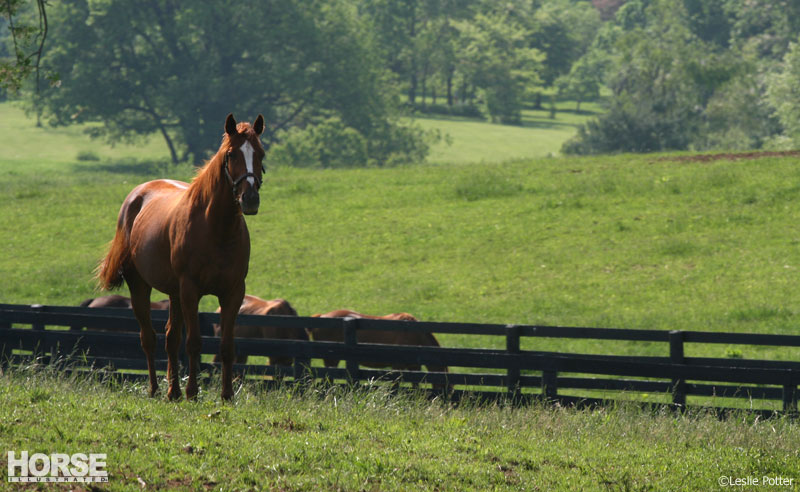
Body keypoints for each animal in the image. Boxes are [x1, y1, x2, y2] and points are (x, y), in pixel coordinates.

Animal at [96, 112, 266, 400]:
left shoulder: (233, 292)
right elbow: (194, 343)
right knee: (149, 338)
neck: (216, 229)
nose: (250, 198)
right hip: (141, 287)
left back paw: (172, 390)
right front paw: (193, 392)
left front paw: (227, 395)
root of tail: (136, 196)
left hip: (174, 294)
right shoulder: (190, 289)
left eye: (261, 153)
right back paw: (156, 388)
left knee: (170, 337)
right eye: (231, 154)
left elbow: (227, 346)